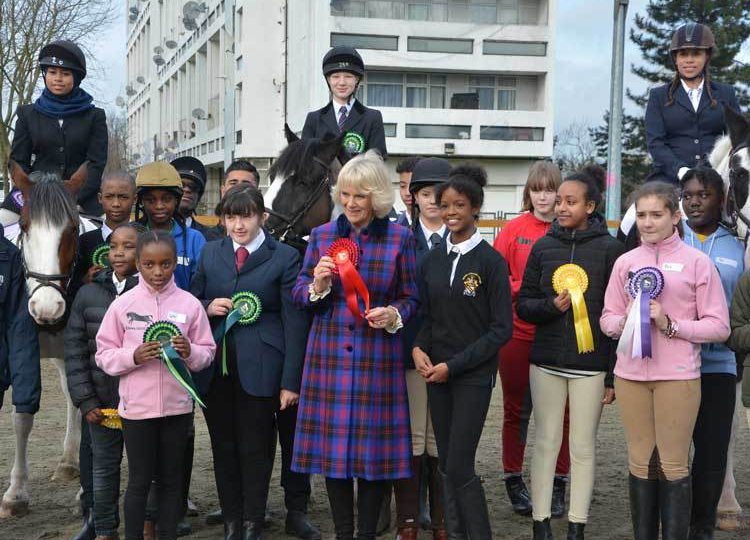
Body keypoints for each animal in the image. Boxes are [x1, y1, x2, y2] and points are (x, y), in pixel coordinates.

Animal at [0, 162, 97, 516]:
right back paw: (69, 462)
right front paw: (16, 493)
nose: (46, 306)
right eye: (25, 227)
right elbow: (21, 418)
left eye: (71, 229)